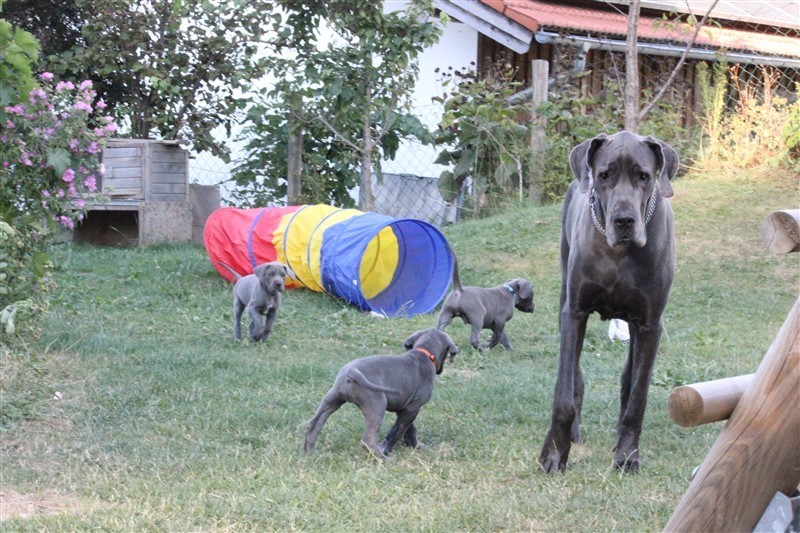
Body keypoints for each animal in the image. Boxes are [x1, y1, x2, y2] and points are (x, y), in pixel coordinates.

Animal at [303, 328, 458, 459]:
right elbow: (397, 431)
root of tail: (351, 371)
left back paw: (309, 452)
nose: (440, 371)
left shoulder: (405, 408)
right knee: (368, 439)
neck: (423, 354)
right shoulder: (412, 408)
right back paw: (384, 459)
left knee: (313, 424)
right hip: (376, 404)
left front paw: (415, 446)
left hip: (332, 398)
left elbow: (410, 429)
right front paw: (388, 449)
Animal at [539, 131, 679, 474]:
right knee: (575, 374)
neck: (619, 254)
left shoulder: (650, 323)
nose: (624, 220)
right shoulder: (574, 312)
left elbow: (638, 398)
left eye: (644, 176)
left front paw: (627, 454)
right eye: (604, 176)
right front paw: (554, 453)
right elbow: (563, 394)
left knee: (629, 379)